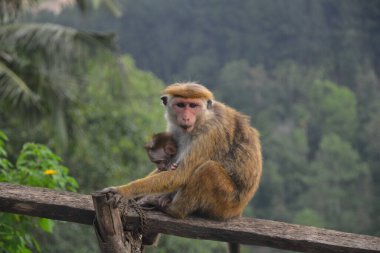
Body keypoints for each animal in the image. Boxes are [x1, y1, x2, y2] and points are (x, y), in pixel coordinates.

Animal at [99, 82, 262, 252]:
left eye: (193, 105)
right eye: (181, 105)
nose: (186, 117)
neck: (202, 119)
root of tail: (238, 211)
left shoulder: (211, 132)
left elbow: (181, 174)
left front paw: (123, 191)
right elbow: (171, 167)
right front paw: (134, 196)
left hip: (227, 204)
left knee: (208, 169)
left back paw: (174, 210)